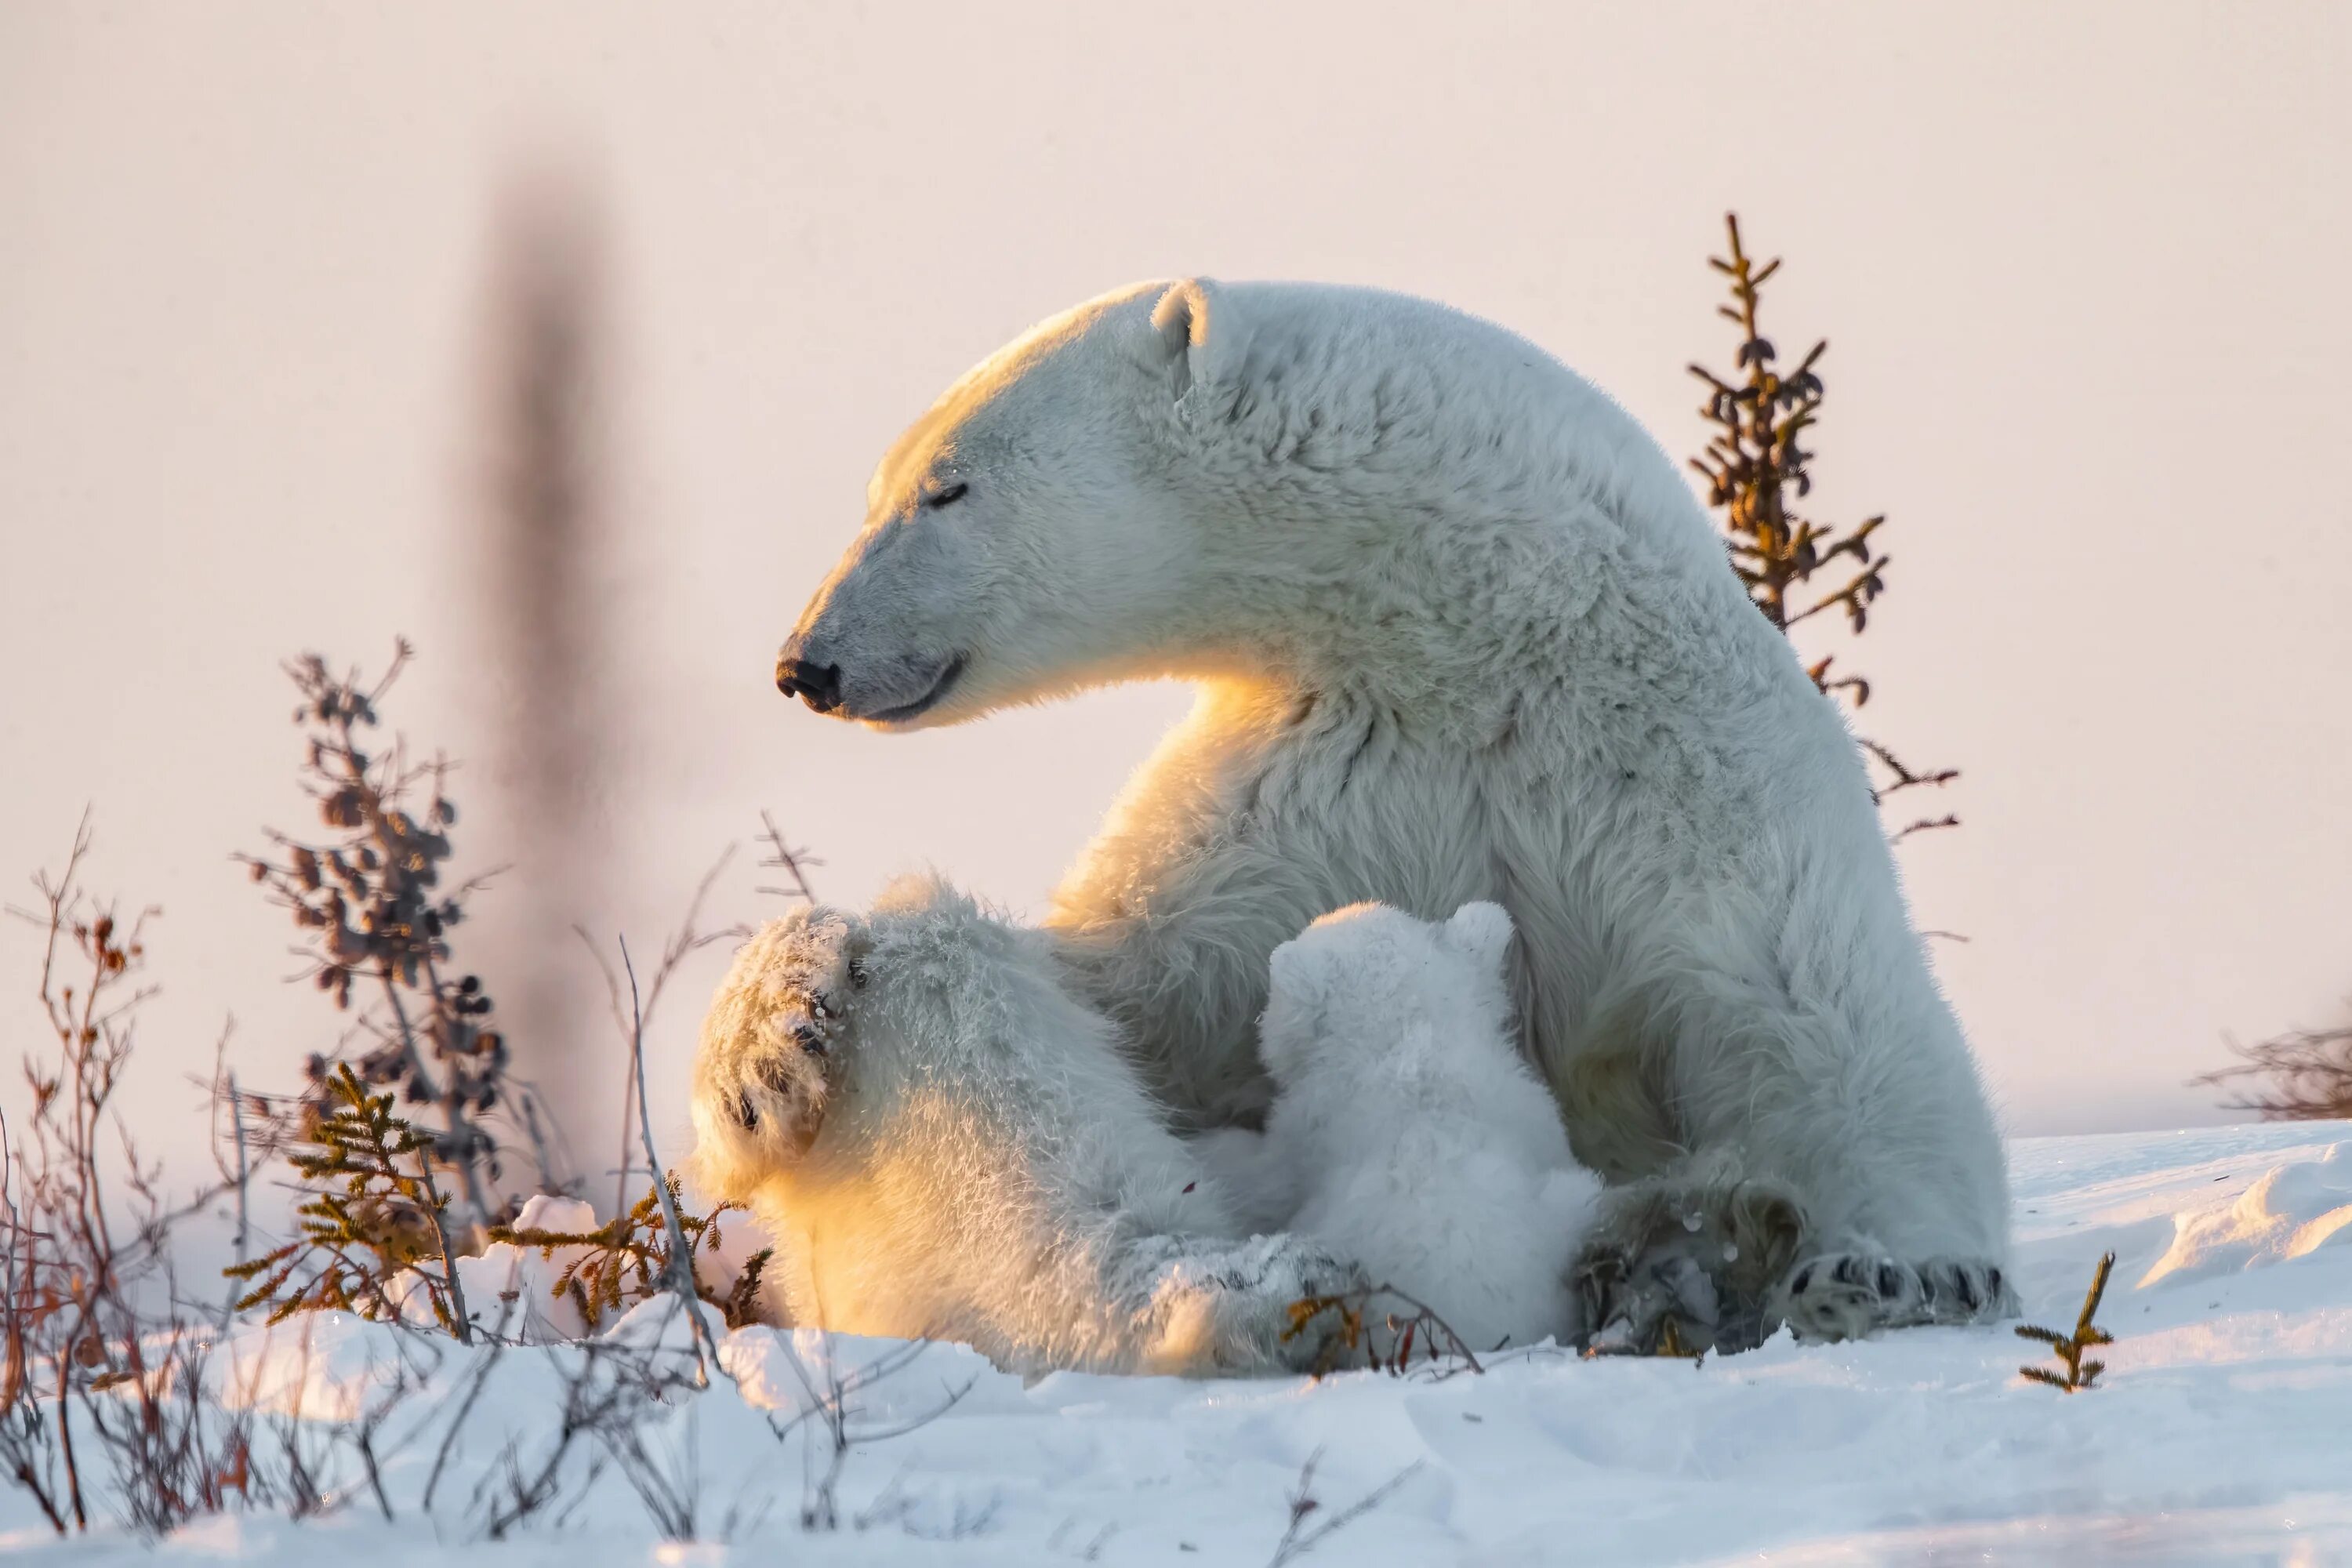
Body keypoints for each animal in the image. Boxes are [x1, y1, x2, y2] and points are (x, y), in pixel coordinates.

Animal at [762, 276, 2013, 1345]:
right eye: (888, 487)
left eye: (945, 486)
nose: (806, 662)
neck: (1481, 628)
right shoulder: (1323, 777)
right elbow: (1140, 990)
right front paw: (791, 993)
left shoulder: (1680, 761)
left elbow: (1820, 1013)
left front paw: (1897, 1269)